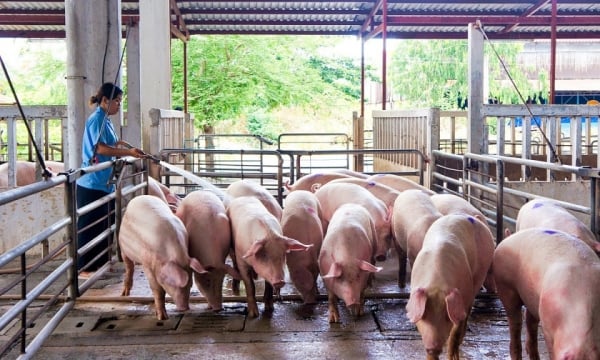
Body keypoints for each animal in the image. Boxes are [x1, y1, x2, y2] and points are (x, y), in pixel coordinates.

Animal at [406, 212, 494, 358]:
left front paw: (453, 356)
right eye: (424, 315)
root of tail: (474, 217)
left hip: (482, 270)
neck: (436, 283)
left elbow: (455, 331)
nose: (432, 347)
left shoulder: (463, 296)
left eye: (447, 316)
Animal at [492, 228, 600, 360]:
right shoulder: (547, 327)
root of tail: (507, 238)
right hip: (505, 286)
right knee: (515, 322)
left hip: (533, 299)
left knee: (530, 321)